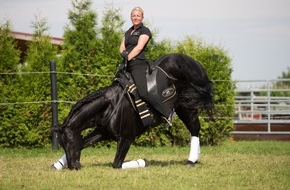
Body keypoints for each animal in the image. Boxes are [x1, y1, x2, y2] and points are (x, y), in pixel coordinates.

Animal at [51, 53, 214, 169]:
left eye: (70, 141)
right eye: (62, 145)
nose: (74, 166)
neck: (112, 106)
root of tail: (193, 62)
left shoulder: (126, 138)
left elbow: (116, 164)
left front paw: (140, 162)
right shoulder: (102, 133)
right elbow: (84, 143)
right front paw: (57, 164)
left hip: (187, 107)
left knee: (194, 129)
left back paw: (191, 161)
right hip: (182, 107)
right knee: (194, 129)